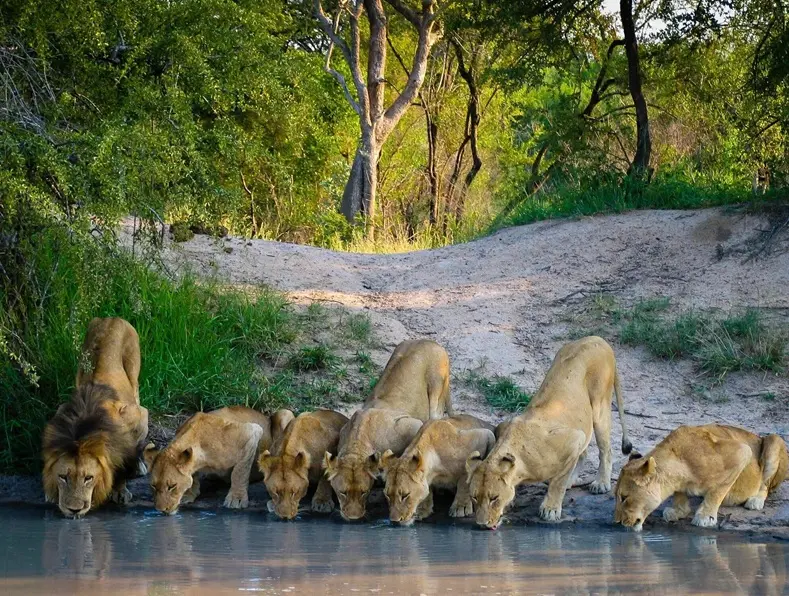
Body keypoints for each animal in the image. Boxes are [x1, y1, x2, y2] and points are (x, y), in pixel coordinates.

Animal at [42, 317, 150, 518]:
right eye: (63, 477)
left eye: (88, 478)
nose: (74, 509)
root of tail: (112, 318)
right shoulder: (62, 410)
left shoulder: (134, 419)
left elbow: (124, 460)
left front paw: (120, 491)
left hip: (135, 379)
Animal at [143, 406, 294, 514]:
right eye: (153, 486)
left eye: (172, 486)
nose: (161, 510)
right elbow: (193, 475)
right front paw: (189, 493)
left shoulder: (251, 432)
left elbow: (240, 472)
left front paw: (237, 499)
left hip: (284, 413)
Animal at [322, 339, 453, 520]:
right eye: (342, 492)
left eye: (364, 492)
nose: (353, 518)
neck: (357, 441)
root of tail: (431, 341)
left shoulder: (412, 424)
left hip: (436, 392)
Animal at [466, 336, 632, 529]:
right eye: (474, 497)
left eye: (494, 498)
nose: (481, 524)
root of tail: (596, 338)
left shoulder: (573, 439)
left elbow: (558, 483)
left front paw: (550, 509)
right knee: (584, 453)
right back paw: (573, 480)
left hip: (600, 405)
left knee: (605, 449)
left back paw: (600, 483)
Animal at [615, 424, 788, 531]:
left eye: (624, 497)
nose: (616, 522)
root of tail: (757, 436)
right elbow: (680, 494)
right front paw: (679, 511)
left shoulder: (741, 452)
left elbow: (717, 491)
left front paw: (705, 516)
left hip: (773, 440)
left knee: (765, 485)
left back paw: (755, 500)